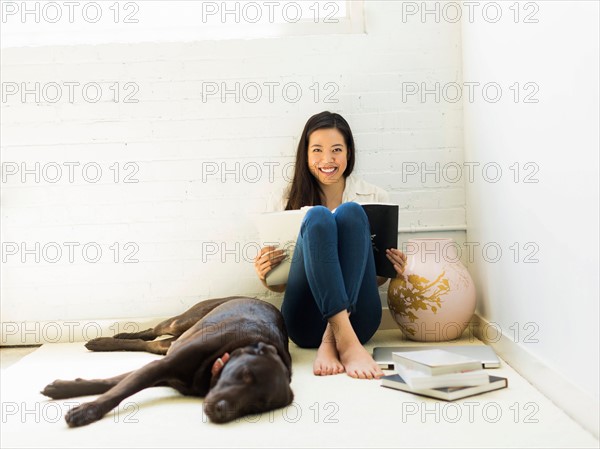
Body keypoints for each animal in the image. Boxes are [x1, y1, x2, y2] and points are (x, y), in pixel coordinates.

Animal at [41, 296, 294, 426]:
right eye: (245, 374)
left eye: (257, 406)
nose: (221, 411)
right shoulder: (161, 367)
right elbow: (117, 391)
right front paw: (86, 409)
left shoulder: (161, 372)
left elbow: (113, 383)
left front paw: (63, 389)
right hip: (180, 322)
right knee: (153, 331)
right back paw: (109, 339)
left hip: (170, 342)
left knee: (149, 344)